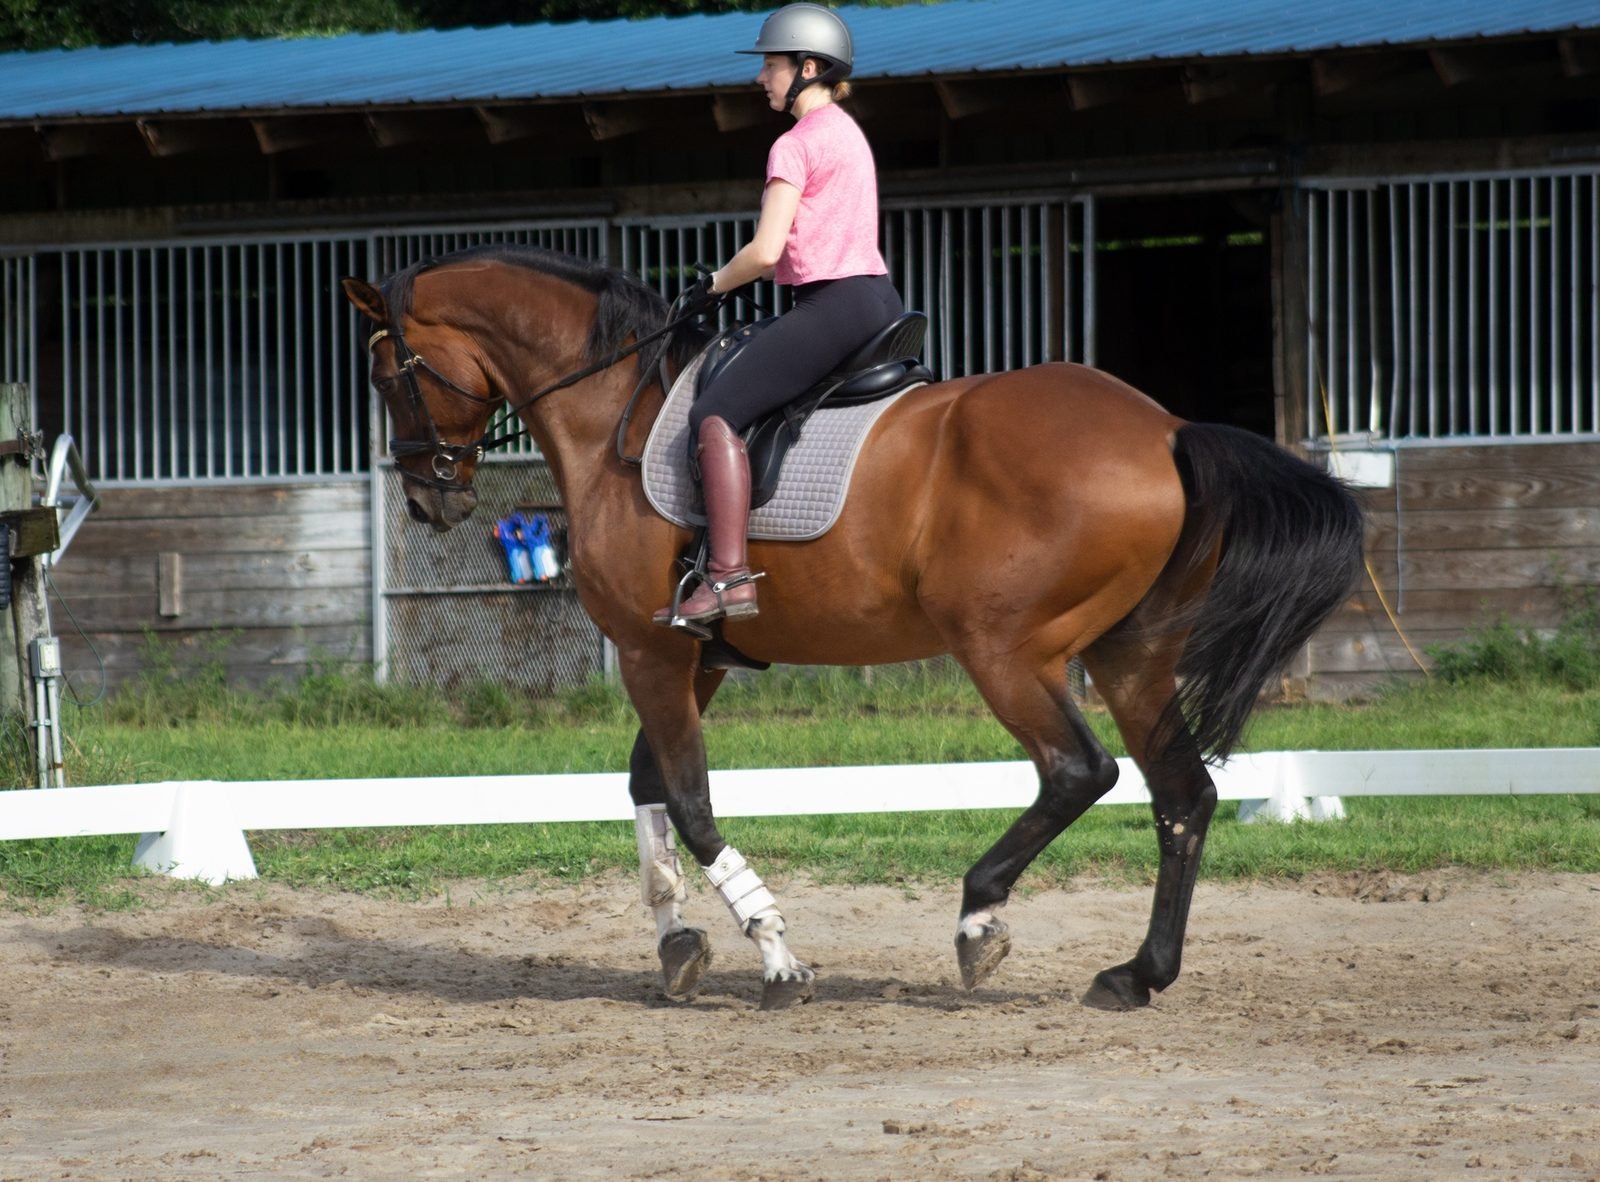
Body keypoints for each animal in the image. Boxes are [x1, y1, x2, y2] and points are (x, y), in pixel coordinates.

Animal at [341, 244, 1364, 1012]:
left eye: (388, 373)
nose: (432, 500)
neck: (611, 418)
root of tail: (1164, 430)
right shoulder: (694, 656)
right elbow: (646, 787)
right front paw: (677, 943)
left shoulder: (650, 650)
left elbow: (691, 801)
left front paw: (775, 955)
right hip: (1133, 655)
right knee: (1182, 795)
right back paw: (1136, 976)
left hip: (1004, 649)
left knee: (1081, 771)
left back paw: (979, 920)